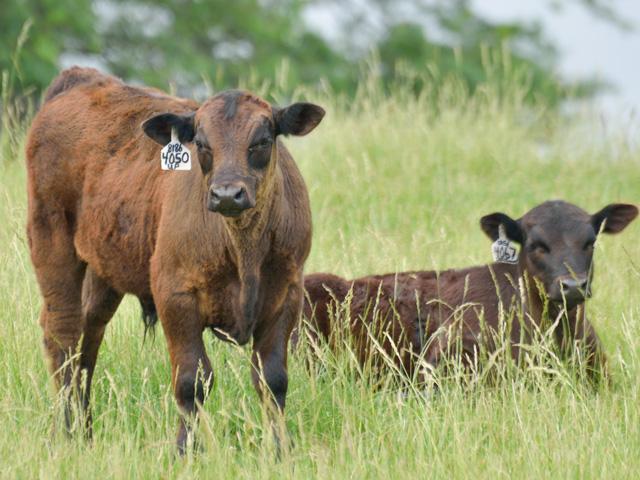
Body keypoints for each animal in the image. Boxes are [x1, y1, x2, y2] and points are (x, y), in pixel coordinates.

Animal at [25, 67, 325, 452]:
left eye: (261, 141)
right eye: (202, 143)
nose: (227, 194)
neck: (243, 248)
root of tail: (82, 78)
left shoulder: (286, 294)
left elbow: (272, 380)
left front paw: (279, 449)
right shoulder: (175, 296)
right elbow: (191, 380)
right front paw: (185, 449)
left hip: (104, 269)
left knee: (88, 342)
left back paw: (85, 431)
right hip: (52, 244)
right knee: (63, 335)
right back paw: (66, 432)